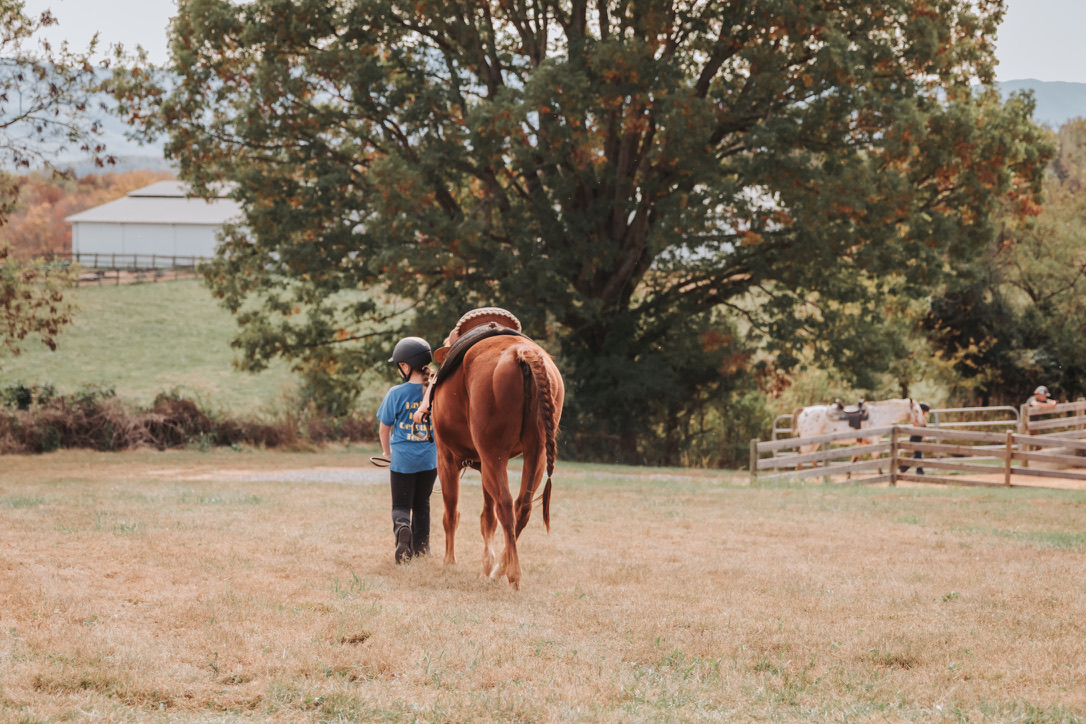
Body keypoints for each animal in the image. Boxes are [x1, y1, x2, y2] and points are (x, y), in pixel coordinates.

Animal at [427, 309, 564, 589]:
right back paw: (500, 568)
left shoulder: (446, 459)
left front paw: (449, 561)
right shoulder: (483, 465)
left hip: (494, 456)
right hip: (534, 454)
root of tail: (522, 352)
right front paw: (485, 566)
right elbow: (486, 520)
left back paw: (511, 573)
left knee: (505, 503)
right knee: (521, 506)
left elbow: (451, 514)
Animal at [792, 398, 928, 471]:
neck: (878, 415)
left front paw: (848, 476)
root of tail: (804, 410)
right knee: (801, 456)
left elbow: (854, 459)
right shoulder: (873, 442)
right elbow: (876, 459)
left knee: (810, 457)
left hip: (814, 443)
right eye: (916, 411)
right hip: (808, 442)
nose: (924, 424)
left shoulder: (862, 443)